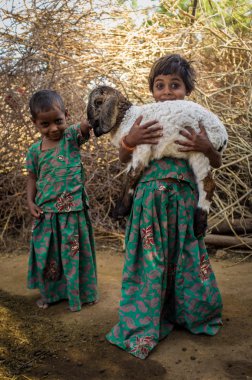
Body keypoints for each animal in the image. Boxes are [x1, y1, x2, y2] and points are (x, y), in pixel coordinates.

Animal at [87, 85, 228, 236]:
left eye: (98, 102)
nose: (90, 122)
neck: (127, 118)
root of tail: (223, 136)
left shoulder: (142, 147)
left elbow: (133, 175)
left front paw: (120, 211)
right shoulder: (132, 154)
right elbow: (128, 177)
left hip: (200, 151)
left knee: (208, 185)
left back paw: (199, 225)